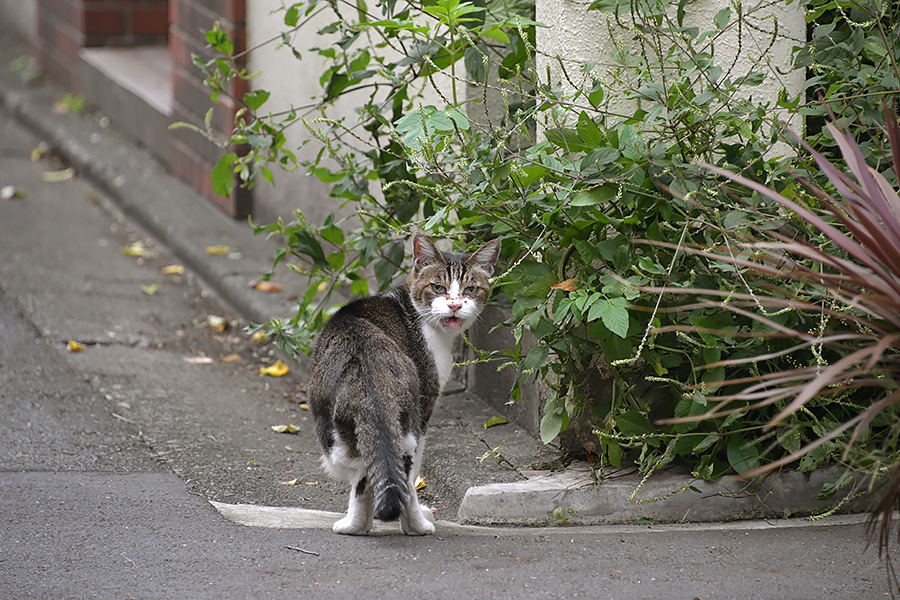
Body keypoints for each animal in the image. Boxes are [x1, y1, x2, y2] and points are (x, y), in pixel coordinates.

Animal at [308, 234, 506, 536]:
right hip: (405, 420)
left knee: (364, 472)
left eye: (471, 289)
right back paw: (416, 525)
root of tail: (368, 364)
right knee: (399, 473)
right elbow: (412, 476)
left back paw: (356, 525)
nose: (455, 305)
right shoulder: (427, 401)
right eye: (438, 287)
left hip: (332, 431)